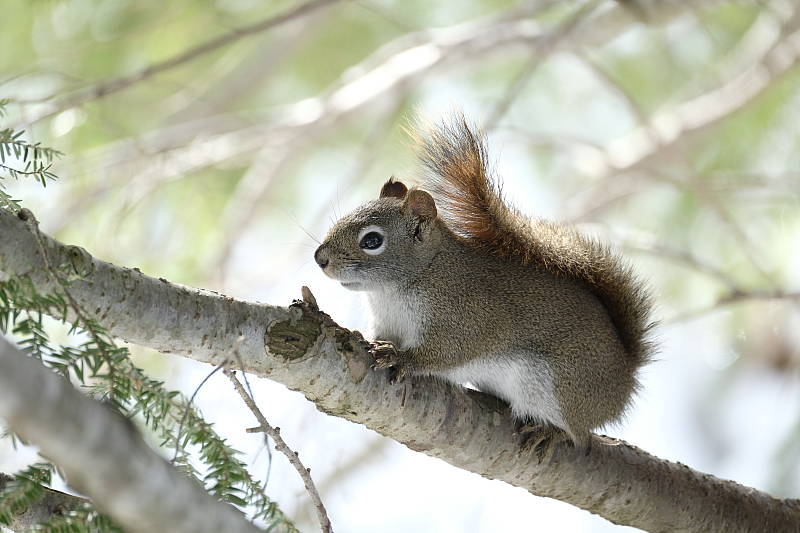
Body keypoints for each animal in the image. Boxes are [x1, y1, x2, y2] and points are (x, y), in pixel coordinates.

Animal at [314, 116, 654, 459]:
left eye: (372, 240)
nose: (320, 258)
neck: (394, 289)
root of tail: (626, 379)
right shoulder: (388, 322)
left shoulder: (467, 317)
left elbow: (448, 351)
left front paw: (403, 358)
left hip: (564, 388)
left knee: (579, 434)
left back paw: (551, 432)